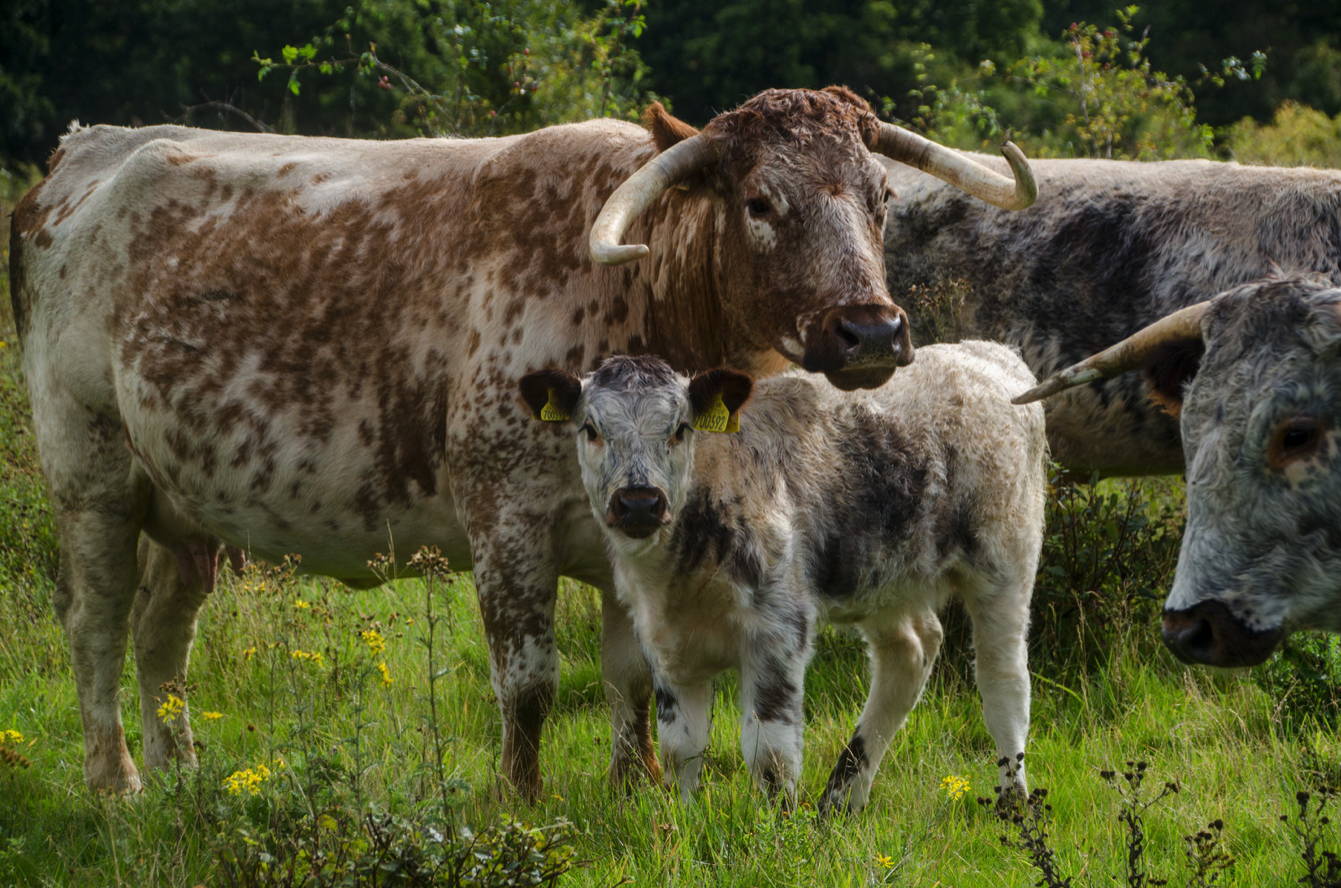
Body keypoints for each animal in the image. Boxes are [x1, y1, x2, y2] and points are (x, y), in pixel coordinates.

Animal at [520, 348, 1045, 815]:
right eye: (591, 429)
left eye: (680, 428)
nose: (639, 502)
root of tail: (987, 353)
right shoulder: (664, 642)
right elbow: (681, 746)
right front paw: (682, 822)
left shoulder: (778, 629)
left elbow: (768, 751)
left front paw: (777, 830)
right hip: (885, 572)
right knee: (910, 652)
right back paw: (841, 800)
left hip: (1006, 561)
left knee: (1004, 680)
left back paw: (1013, 800)